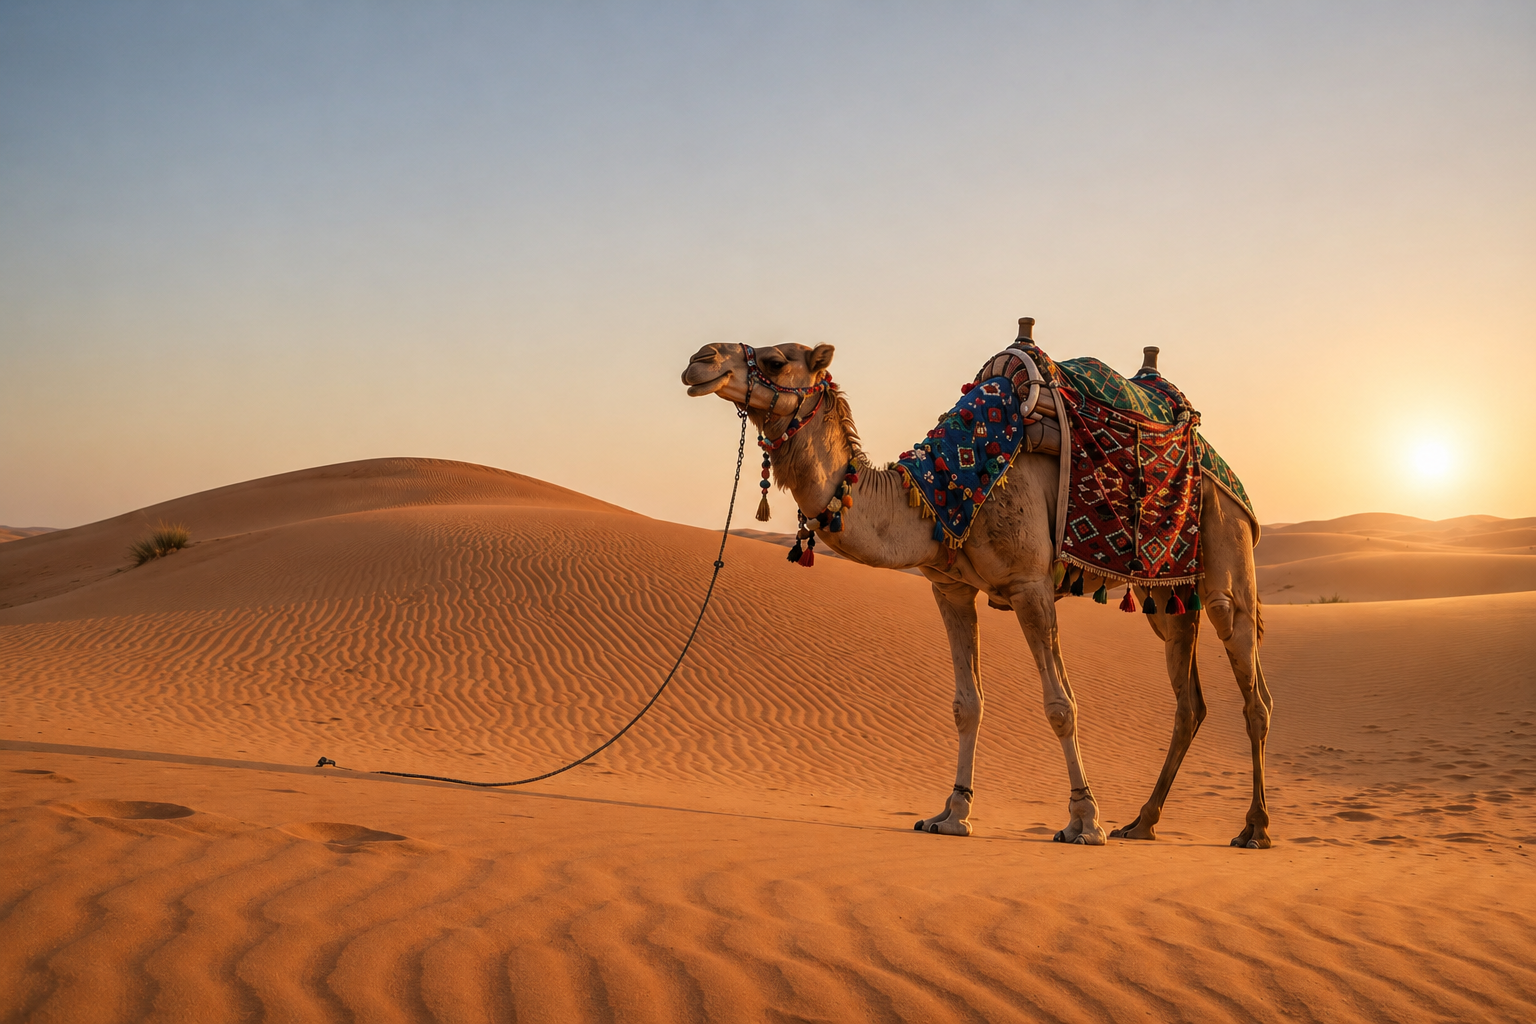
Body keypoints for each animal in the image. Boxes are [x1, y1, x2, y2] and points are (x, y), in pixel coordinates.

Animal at [681, 320, 1272, 848]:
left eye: (778, 359)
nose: (700, 360)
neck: (939, 488)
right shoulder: (950, 589)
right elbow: (968, 704)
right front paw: (951, 814)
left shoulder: (1031, 585)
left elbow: (1061, 705)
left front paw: (1084, 822)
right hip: (1166, 597)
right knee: (1189, 700)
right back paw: (1142, 823)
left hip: (1226, 548)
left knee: (1251, 685)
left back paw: (1253, 829)